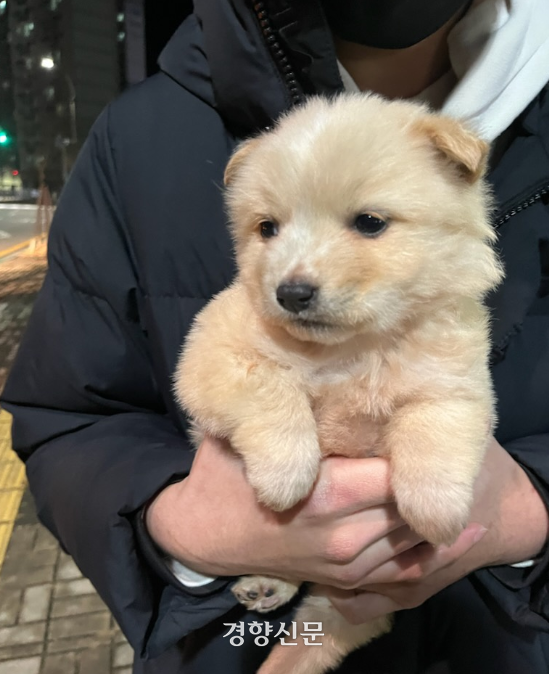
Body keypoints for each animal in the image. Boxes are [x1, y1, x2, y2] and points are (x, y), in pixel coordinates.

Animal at [174, 94, 500, 672]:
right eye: (267, 229)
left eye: (369, 223)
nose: (291, 292)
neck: (355, 349)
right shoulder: (212, 353)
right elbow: (274, 392)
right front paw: (285, 476)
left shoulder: (456, 384)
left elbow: (433, 436)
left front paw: (435, 514)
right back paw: (265, 583)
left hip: (347, 604)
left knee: (330, 628)